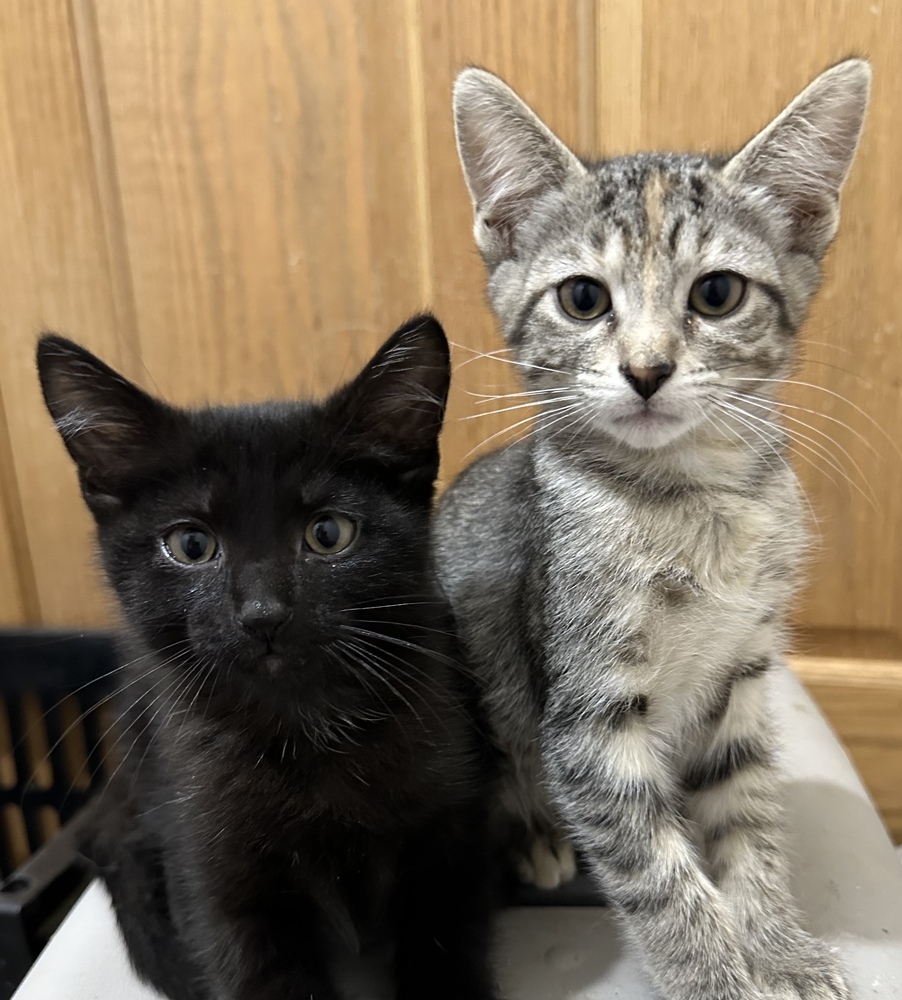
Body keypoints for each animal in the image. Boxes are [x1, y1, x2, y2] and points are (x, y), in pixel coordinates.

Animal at [37, 318, 502, 1000]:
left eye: (328, 534)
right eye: (191, 545)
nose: (263, 614)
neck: (305, 727)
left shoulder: (452, 836)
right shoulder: (214, 872)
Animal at [438, 62, 876, 1000]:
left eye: (717, 293)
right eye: (582, 298)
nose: (646, 370)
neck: (688, 502)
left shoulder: (742, 672)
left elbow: (747, 815)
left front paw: (777, 944)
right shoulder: (588, 716)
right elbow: (655, 869)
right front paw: (714, 975)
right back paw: (535, 835)